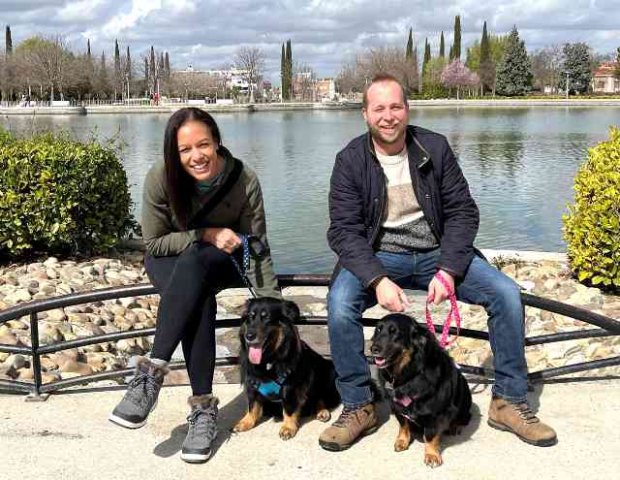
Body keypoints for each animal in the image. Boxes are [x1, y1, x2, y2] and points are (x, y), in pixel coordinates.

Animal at [234, 298, 342, 440]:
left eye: (266, 317)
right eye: (249, 317)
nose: (249, 336)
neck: (269, 360)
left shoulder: (289, 386)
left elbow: (289, 408)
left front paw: (288, 428)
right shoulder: (252, 382)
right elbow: (252, 405)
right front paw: (246, 421)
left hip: (327, 372)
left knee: (320, 398)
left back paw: (322, 411)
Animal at [370, 314, 472, 466]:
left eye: (395, 332)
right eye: (378, 329)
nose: (373, 348)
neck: (409, 374)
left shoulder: (434, 414)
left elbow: (430, 435)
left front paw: (432, 454)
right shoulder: (397, 407)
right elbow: (403, 425)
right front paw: (402, 441)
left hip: (464, 394)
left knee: (465, 417)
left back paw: (455, 426)